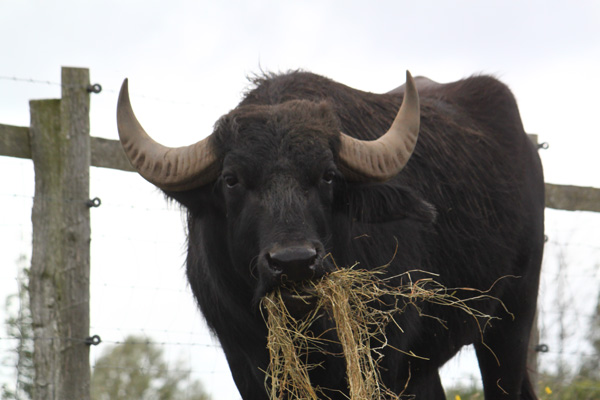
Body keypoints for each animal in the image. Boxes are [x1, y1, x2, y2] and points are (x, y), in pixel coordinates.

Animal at [116, 70, 544, 398]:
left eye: (328, 175)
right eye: (231, 179)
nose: (293, 263)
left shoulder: (383, 353)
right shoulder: (245, 361)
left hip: (511, 318)